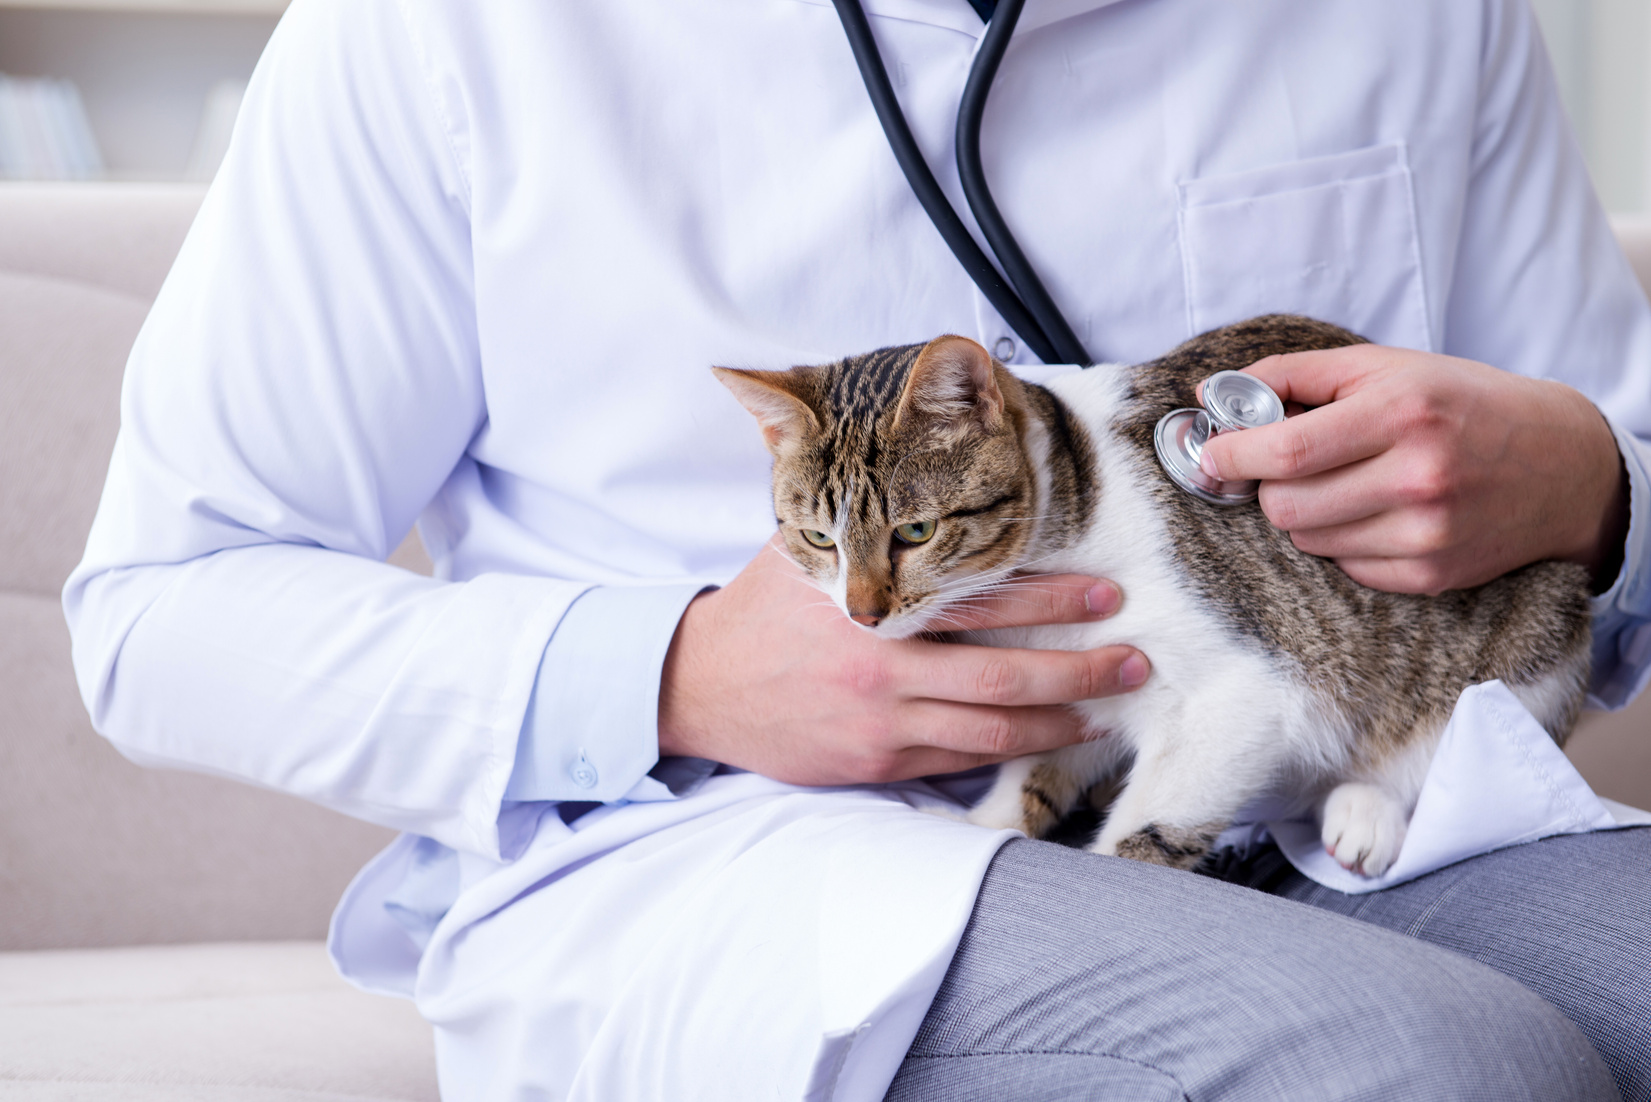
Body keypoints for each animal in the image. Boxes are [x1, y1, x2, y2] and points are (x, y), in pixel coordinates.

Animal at [716, 318, 1591, 878]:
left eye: (914, 531)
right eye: (818, 538)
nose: (860, 613)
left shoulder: (1242, 694)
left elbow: (1152, 823)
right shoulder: (1076, 688)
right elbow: (1038, 763)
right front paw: (987, 823)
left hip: (1537, 627)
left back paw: (1367, 808)